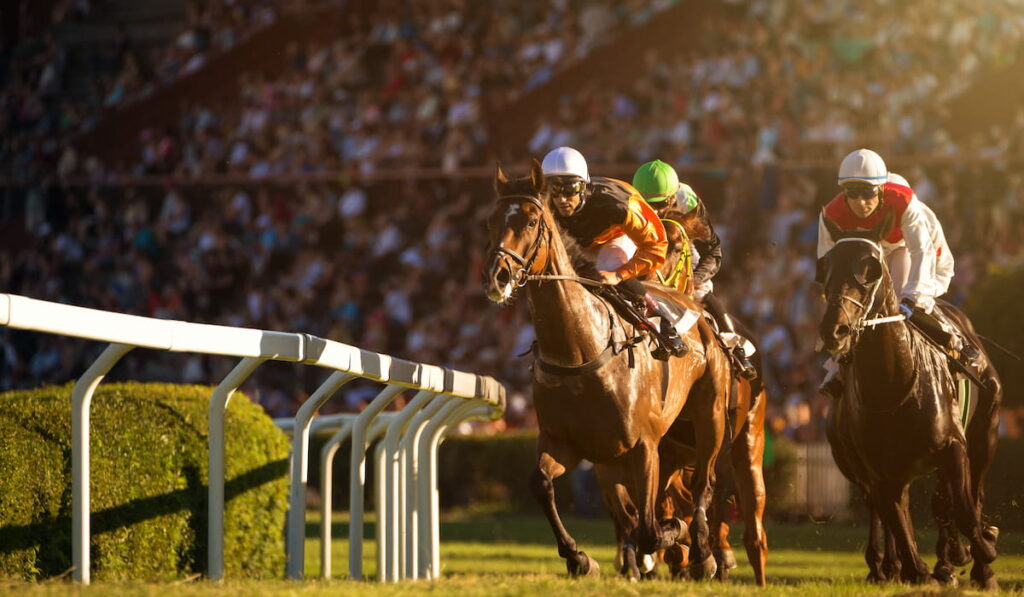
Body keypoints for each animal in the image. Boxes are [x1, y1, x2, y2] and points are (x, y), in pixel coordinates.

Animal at [481, 160, 729, 581]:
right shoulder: (566, 442)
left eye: (531, 221)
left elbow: (648, 530)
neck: (580, 349)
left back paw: (702, 553)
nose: (496, 276)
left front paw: (674, 538)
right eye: (492, 220)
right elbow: (541, 483)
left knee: (702, 485)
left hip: (709, 416)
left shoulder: (643, 446)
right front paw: (579, 557)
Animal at [819, 208, 1003, 589]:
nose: (835, 329)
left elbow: (965, 509)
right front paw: (915, 569)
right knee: (895, 507)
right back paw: (892, 565)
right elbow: (898, 520)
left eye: (871, 267)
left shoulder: (954, 446)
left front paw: (982, 552)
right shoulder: (878, 471)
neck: (893, 382)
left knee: (967, 496)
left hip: (987, 431)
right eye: (823, 267)